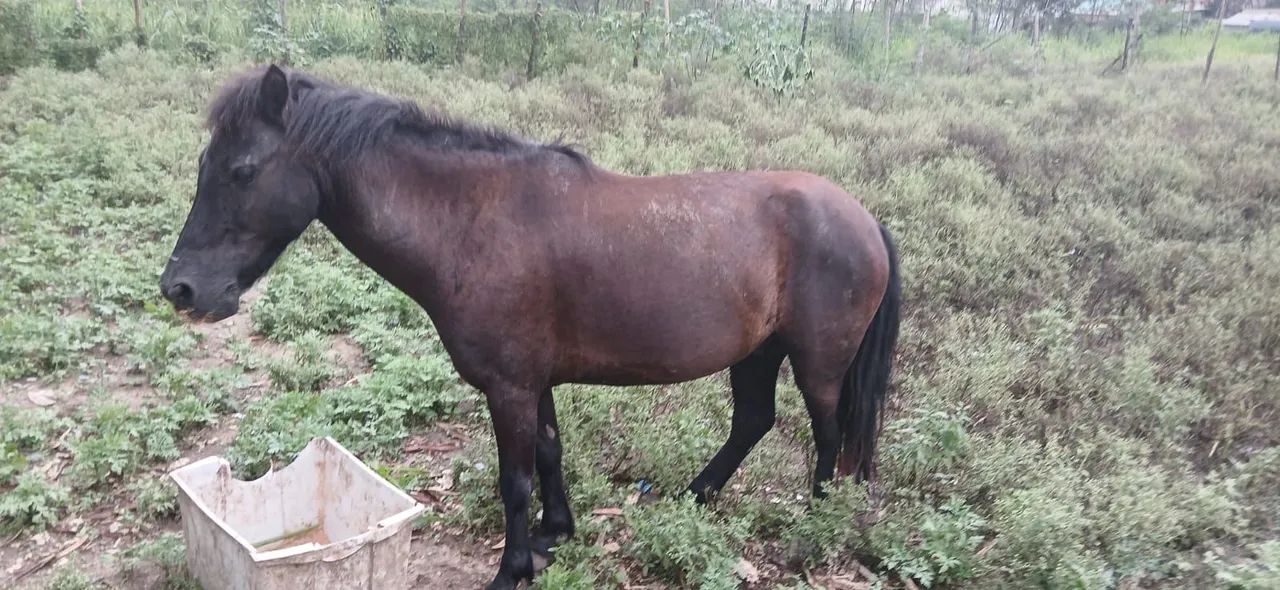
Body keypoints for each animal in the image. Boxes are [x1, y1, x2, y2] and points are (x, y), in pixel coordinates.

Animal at [160, 65, 901, 590]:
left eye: (242, 170)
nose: (181, 289)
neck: (470, 222)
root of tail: (864, 218)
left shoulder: (508, 386)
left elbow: (513, 479)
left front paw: (510, 569)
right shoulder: (533, 381)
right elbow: (549, 453)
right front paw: (553, 535)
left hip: (817, 363)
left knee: (826, 437)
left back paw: (812, 531)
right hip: (757, 351)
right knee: (753, 421)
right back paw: (692, 498)